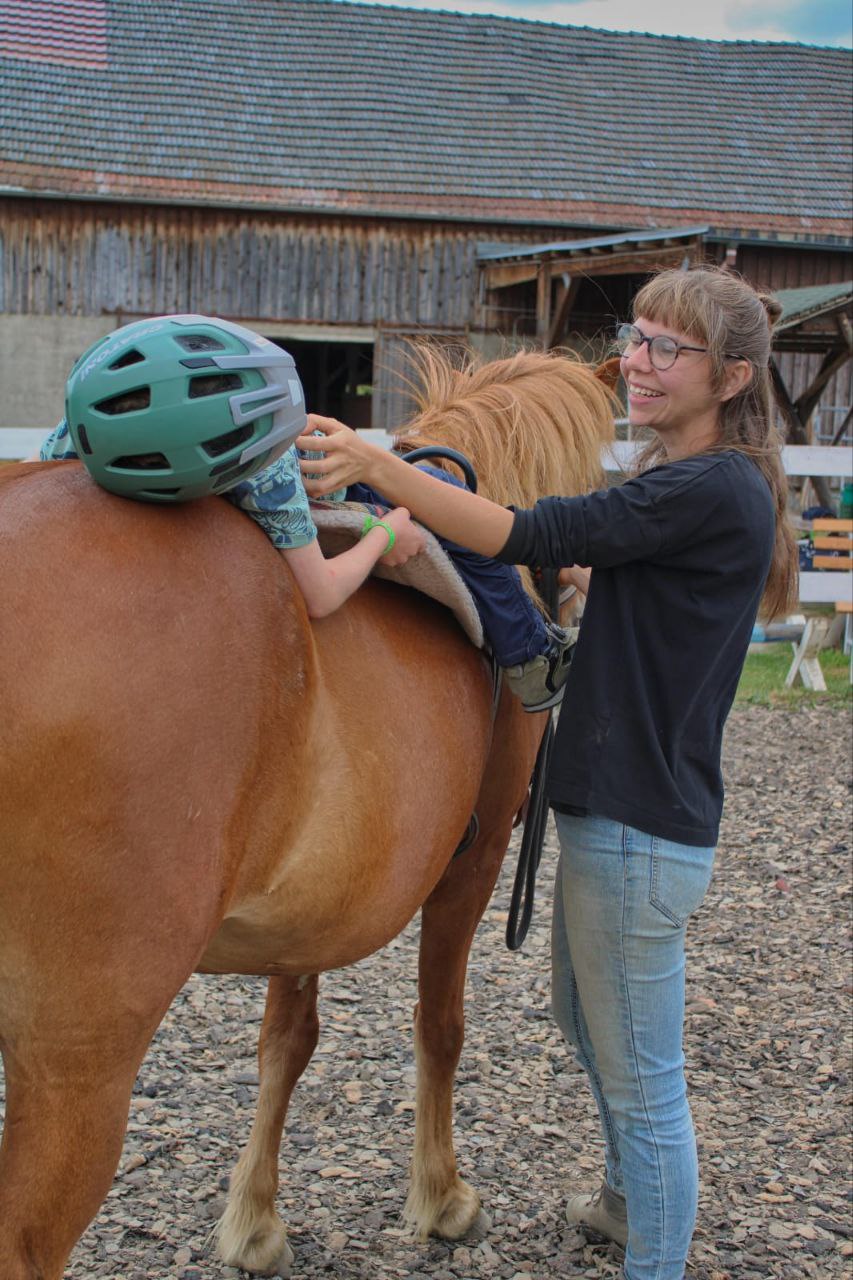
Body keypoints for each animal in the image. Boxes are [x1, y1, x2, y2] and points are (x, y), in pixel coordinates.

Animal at [0, 345, 615, 1279]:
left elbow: (286, 1042)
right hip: (79, 1052)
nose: (573, 598)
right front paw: (441, 1198)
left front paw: (253, 1220)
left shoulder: (312, 900)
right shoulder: (468, 872)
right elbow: (440, 1026)